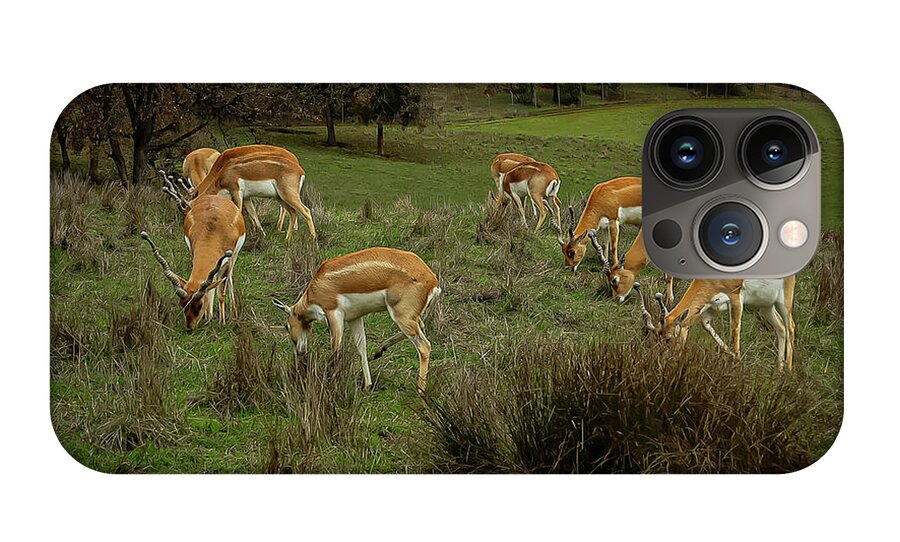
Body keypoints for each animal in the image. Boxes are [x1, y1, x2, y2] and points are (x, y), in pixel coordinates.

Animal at [140, 194, 246, 331]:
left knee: (228, 279)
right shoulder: (193, 252)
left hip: (234, 257)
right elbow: (209, 288)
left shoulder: (228, 260)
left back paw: (234, 311)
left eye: (199, 305)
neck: (213, 230)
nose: (190, 327)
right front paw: (208, 318)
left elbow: (221, 293)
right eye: (182, 304)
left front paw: (222, 323)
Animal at [272, 247, 442, 394]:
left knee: (424, 346)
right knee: (421, 327)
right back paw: (379, 351)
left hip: (401, 315)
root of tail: (432, 281)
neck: (316, 287)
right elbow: (361, 347)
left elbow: (336, 348)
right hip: (409, 317)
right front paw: (367, 385)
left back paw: (420, 390)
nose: (300, 351)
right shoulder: (354, 318)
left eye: (286, 326)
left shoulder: (334, 314)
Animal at [633, 276, 797, 370]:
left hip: (784, 303)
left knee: (790, 327)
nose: (662, 361)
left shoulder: (736, 299)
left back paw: (788, 373)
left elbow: (734, 332)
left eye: (668, 339)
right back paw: (779, 371)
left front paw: (737, 363)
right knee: (781, 328)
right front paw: (734, 357)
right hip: (765, 307)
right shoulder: (709, 308)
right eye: (655, 338)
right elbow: (708, 328)